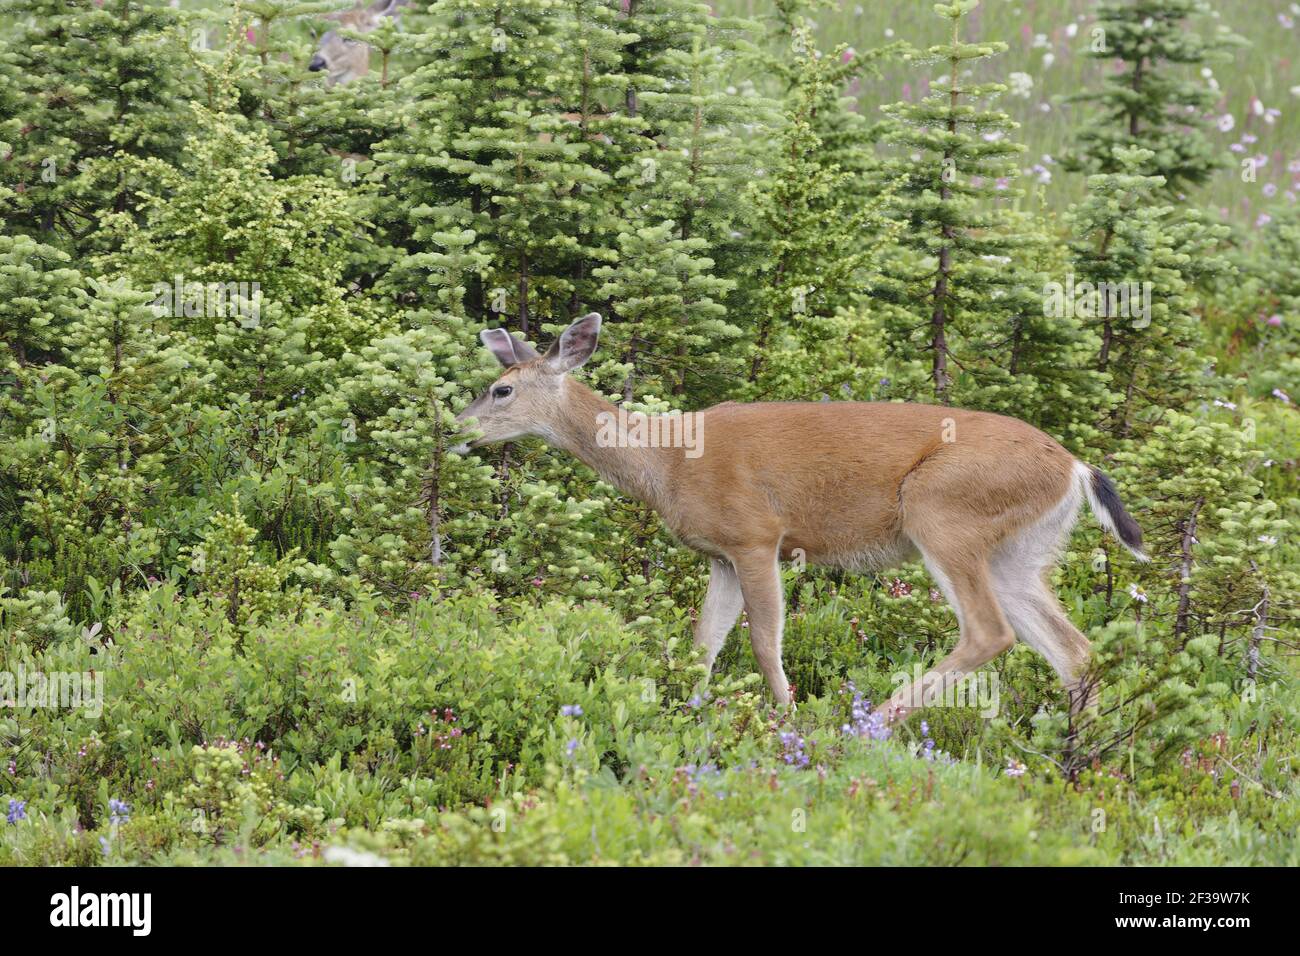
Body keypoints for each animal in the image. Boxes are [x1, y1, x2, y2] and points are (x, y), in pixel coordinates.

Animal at [457, 317, 1149, 723]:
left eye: (501, 390)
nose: (456, 429)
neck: (668, 459)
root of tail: (1076, 468)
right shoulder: (720, 555)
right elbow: (703, 645)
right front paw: (689, 715)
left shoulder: (757, 535)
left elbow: (765, 642)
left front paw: (782, 720)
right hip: (1020, 551)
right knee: (1075, 650)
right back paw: (1085, 763)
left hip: (944, 511)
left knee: (990, 632)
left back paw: (871, 723)